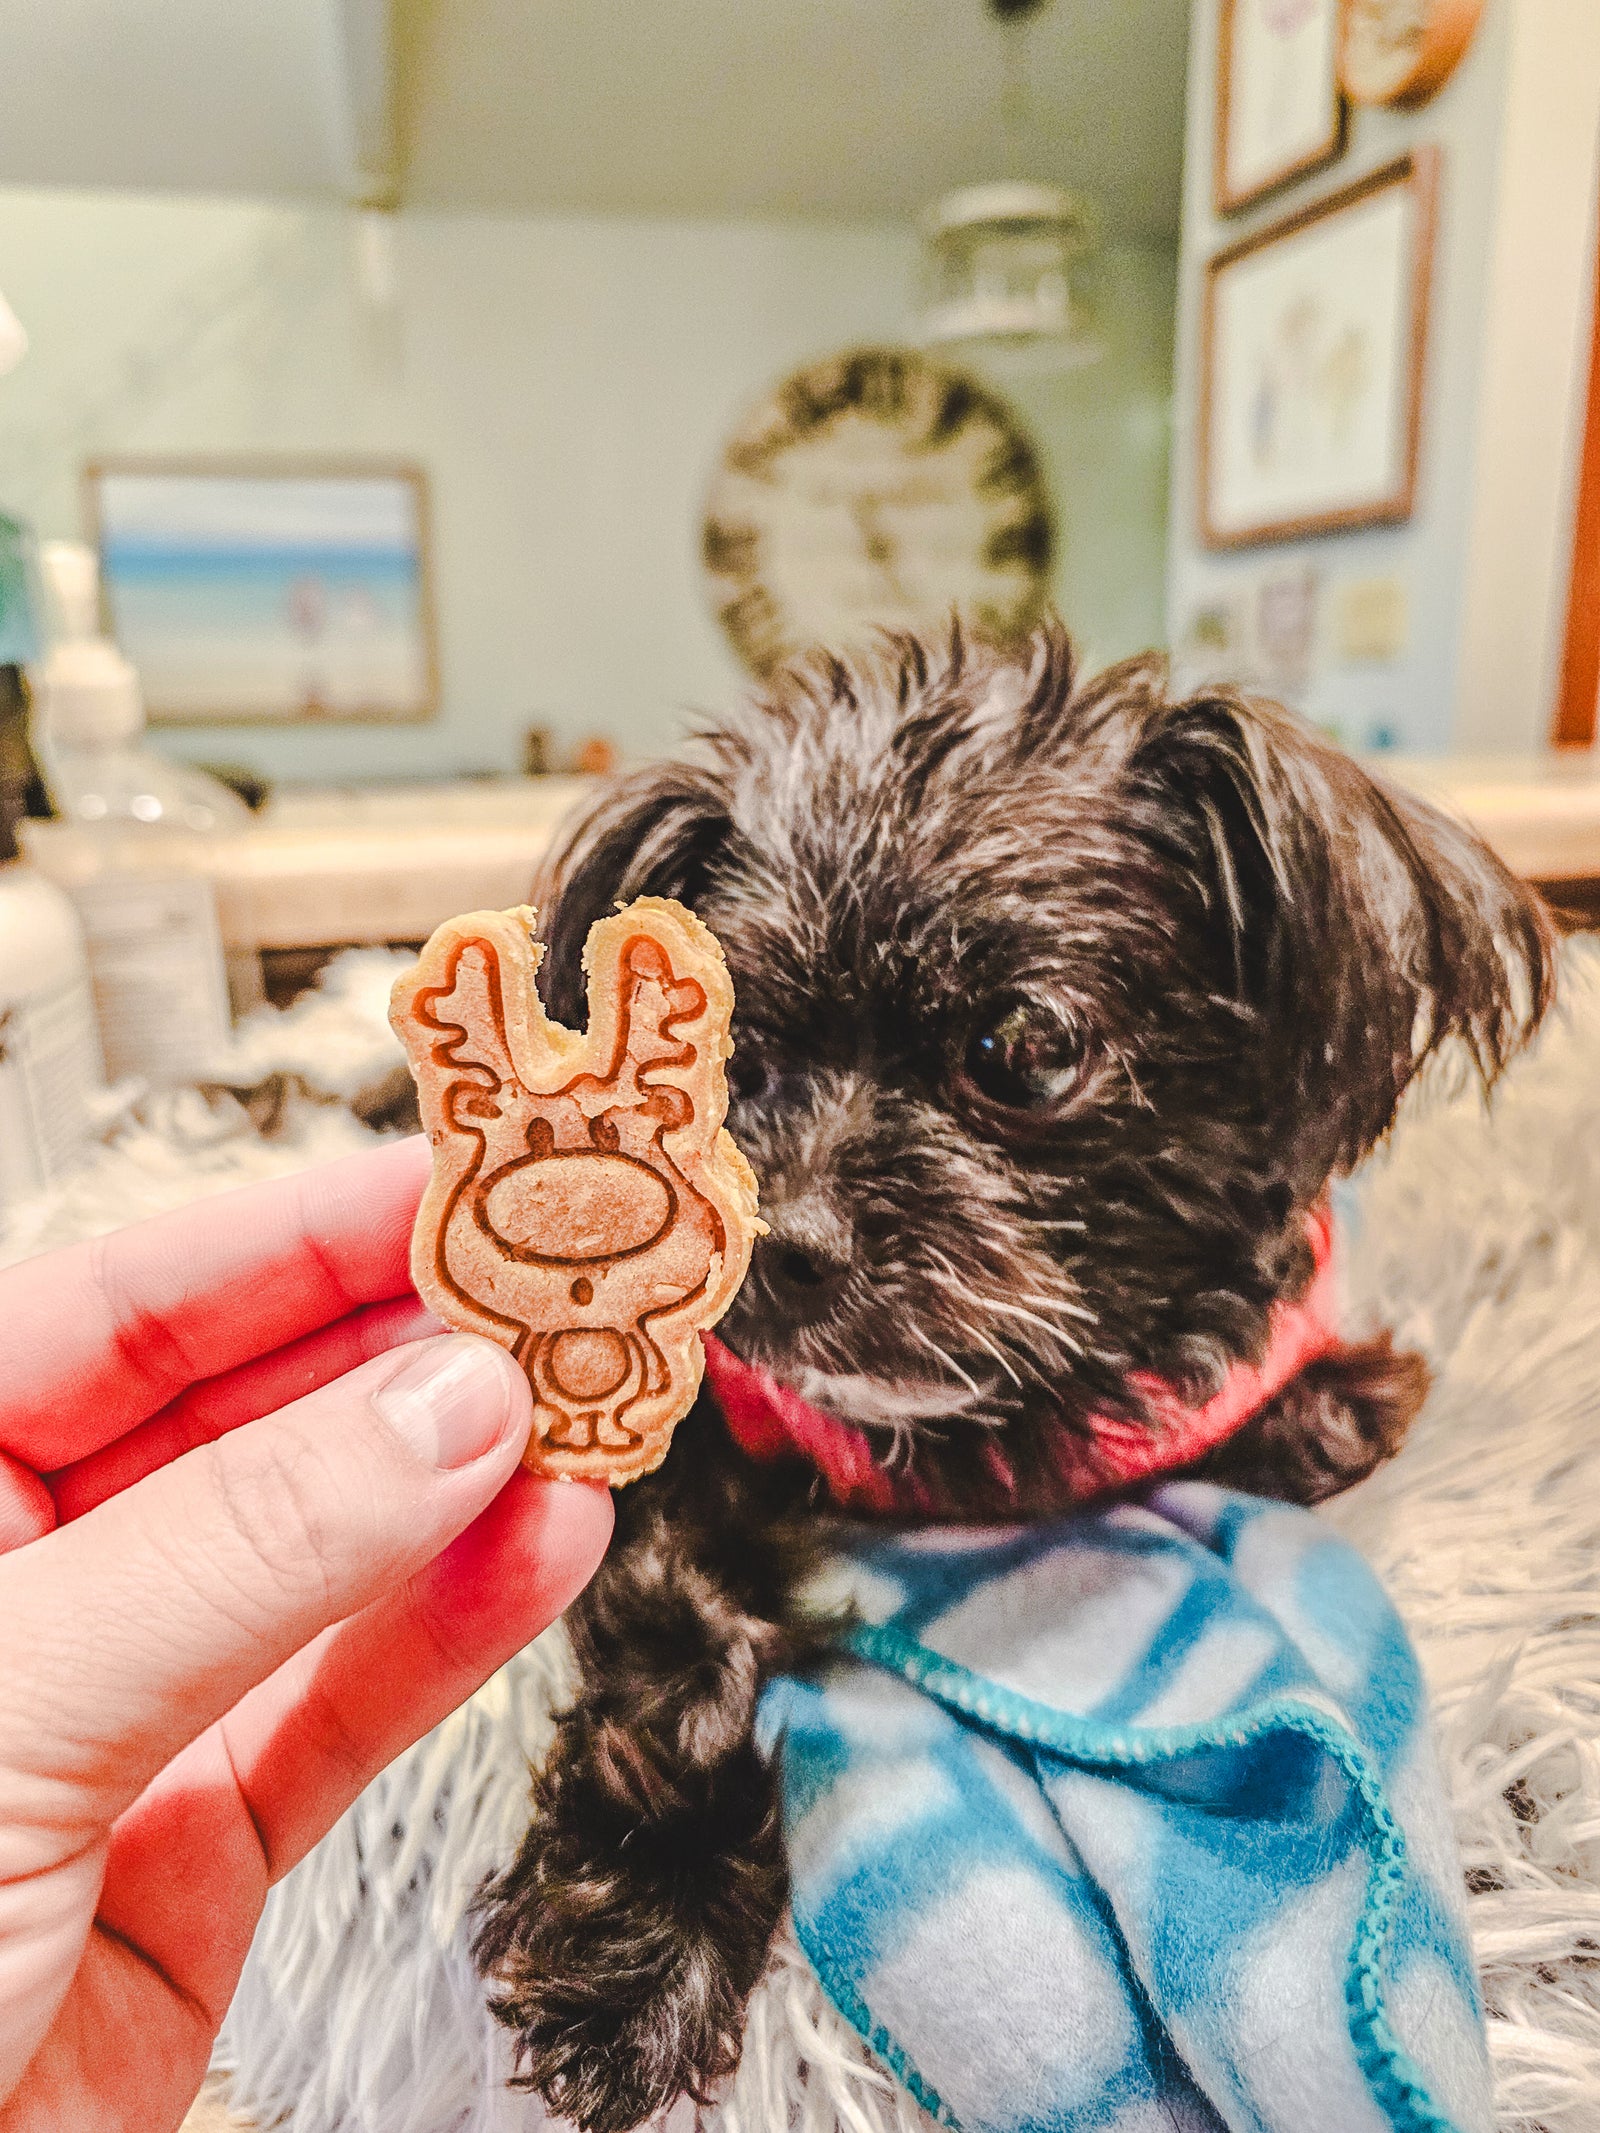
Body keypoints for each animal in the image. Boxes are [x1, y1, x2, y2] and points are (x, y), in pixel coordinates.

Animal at [469, 624, 1554, 2132]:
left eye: (1026, 1048)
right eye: (736, 1056)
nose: (783, 1245)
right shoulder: (668, 1433)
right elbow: (678, 1658)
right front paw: (639, 1946)